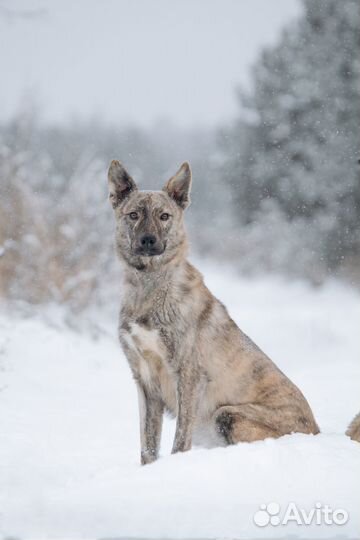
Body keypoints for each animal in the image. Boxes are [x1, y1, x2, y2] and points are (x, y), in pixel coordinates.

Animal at [106, 160, 318, 464]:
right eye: (133, 215)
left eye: (164, 216)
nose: (148, 241)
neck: (150, 287)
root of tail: (317, 431)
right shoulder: (144, 379)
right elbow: (148, 447)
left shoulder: (188, 375)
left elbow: (180, 440)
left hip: (226, 414)